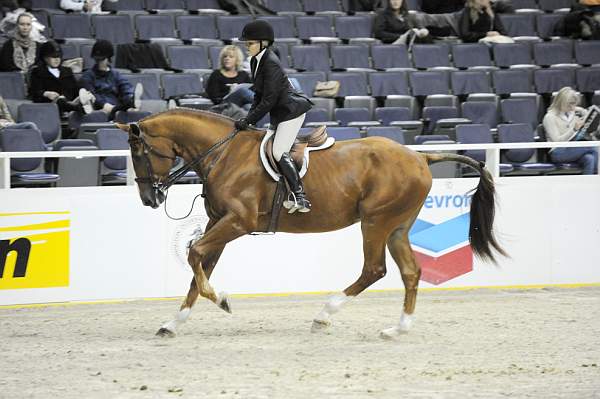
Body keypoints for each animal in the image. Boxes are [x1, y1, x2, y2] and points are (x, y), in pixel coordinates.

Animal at [115, 108, 504, 340]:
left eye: (140, 152)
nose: (149, 199)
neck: (223, 154)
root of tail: (420, 156)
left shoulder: (237, 222)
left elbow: (195, 256)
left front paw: (223, 300)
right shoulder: (218, 223)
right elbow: (198, 268)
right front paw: (172, 324)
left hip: (376, 222)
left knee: (374, 270)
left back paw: (324, 315)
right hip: (397, 226)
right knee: (410, 272)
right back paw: (398, 328)